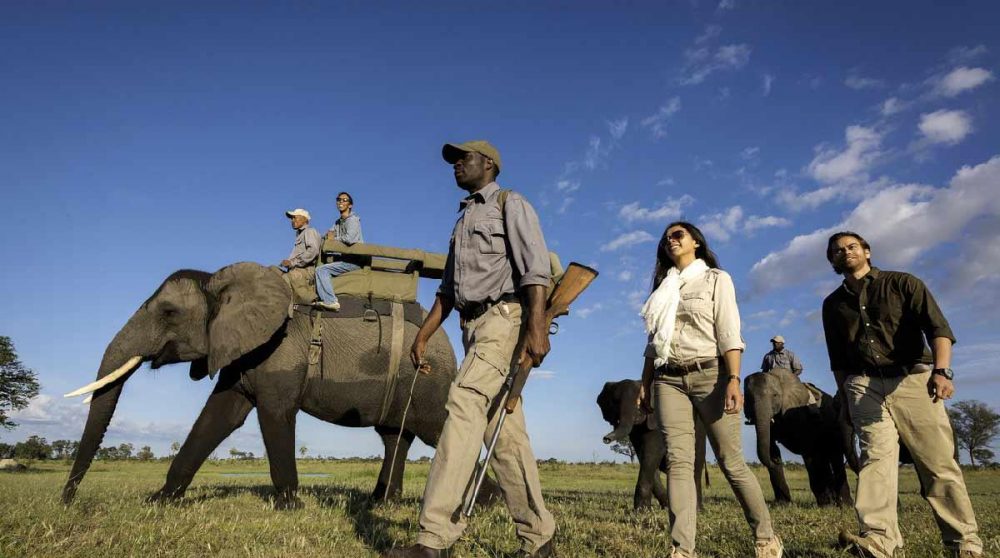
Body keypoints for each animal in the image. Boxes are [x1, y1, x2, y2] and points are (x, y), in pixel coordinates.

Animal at [61, 262, 492, 509]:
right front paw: (160, 502)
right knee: (394, 436)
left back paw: (483, 505)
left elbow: (273, 414)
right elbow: (220, 416)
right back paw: (383, 504)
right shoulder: (242, 350)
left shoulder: (280, 351)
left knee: (438, 428)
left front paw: (290, 507)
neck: (222, 282)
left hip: (429, 378)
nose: (69, 502)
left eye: (168, 313)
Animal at [597, 379, 709, 510]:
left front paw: (641, 510)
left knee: (696, 464)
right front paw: (655, 508)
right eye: (615, 402)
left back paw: (697, 509)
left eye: (640, 401)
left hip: (700, 431)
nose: (606, 439)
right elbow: (645, 457)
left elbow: (651, 453)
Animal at [743, 368, 853, 507]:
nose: (777, 461)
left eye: (775, 396)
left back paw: (843, 504)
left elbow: (808, 452)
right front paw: (782, 505)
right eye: (748, 398)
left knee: (833, 455)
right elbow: (771, 448)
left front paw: (826, 505)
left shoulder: (801, 416)